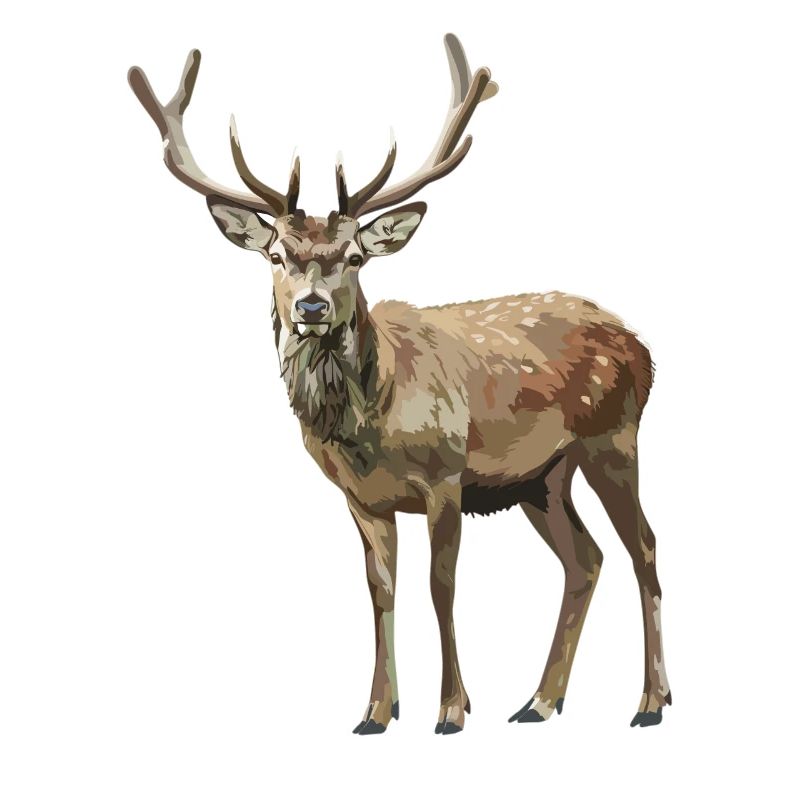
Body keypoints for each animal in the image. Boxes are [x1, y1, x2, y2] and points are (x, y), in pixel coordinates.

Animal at [128, 33, 671, 735]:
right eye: (276, 255)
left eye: (355, 257)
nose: (310, 307)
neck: (372, 425)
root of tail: (643, 345)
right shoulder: (361, 499)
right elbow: (380, 591)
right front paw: (377, 711)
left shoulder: (446, 475)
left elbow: (442, 588)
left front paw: (451, 709)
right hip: (542, 478)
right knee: (586, 560)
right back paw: (539, 701)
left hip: (614, 437)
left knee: (645, 548)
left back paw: (651, 701)